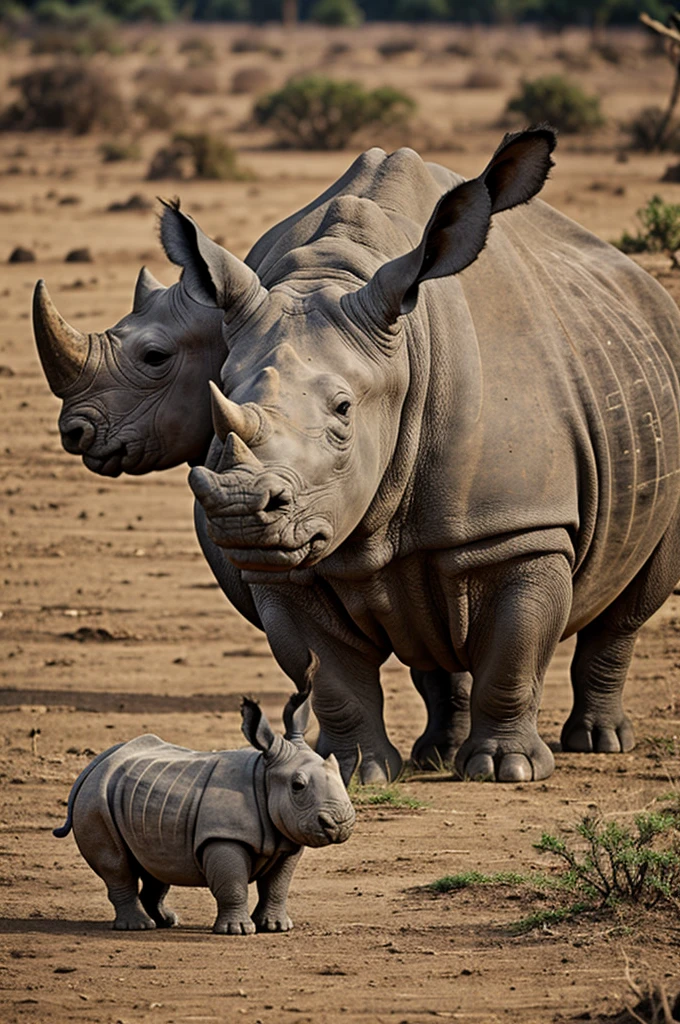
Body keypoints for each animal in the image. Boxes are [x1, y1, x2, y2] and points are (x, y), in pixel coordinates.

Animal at [53, 684, 356, 933]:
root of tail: (98, 763)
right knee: (117, 865)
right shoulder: (223, 836)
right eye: (297, 786)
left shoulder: (287, 837)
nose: (341, 824)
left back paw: (166, 921)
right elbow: (232, 884)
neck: (265, 775)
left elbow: (278, 886)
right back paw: (138, 926)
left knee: (154, 860)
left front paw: (276, 927)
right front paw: (238, 930)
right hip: (95, 801)